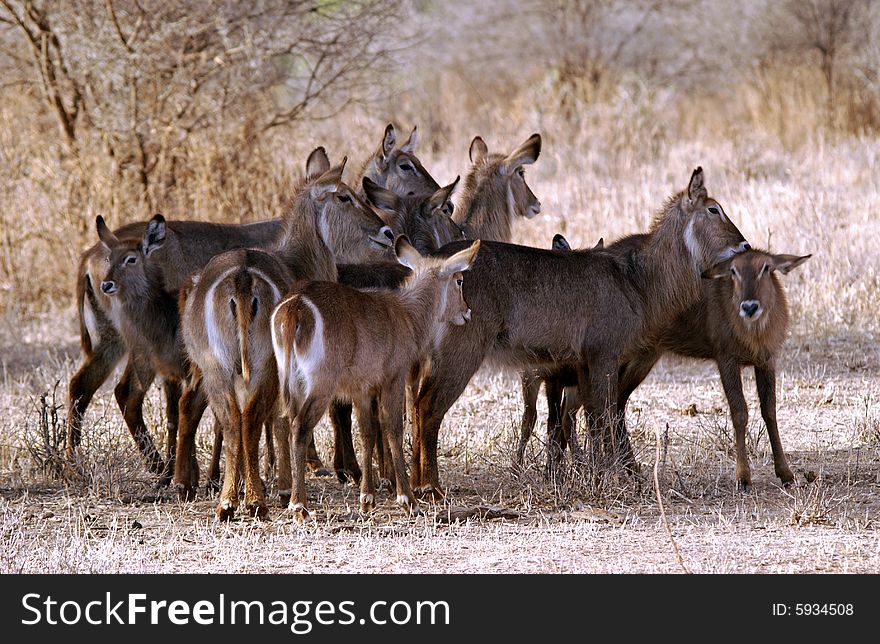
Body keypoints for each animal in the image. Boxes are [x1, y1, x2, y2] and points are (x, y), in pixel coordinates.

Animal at [276, 236, 482, 520]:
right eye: (459, 280)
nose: (467, 312)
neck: (407, 314)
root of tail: (295, 307)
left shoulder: (362, 388)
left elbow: (367, 432)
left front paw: (367, 498)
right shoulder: (393, 379)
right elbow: (393, 429)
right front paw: (407, 499)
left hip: (289, 382)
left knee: (283, 423)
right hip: (320, 386)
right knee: (299, 427)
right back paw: (299, 506)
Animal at [410, 169, 748, 496]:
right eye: (713, 209)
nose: (744, 245)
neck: (638, 280)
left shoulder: (584, 363)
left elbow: (591, 419)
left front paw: (595, 475)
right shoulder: (605, 354)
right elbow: (606, 415)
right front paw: (612, 479)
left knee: (415, 405)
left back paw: (415, 485)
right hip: (463, 351)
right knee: (429, 409)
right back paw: (432, 487)